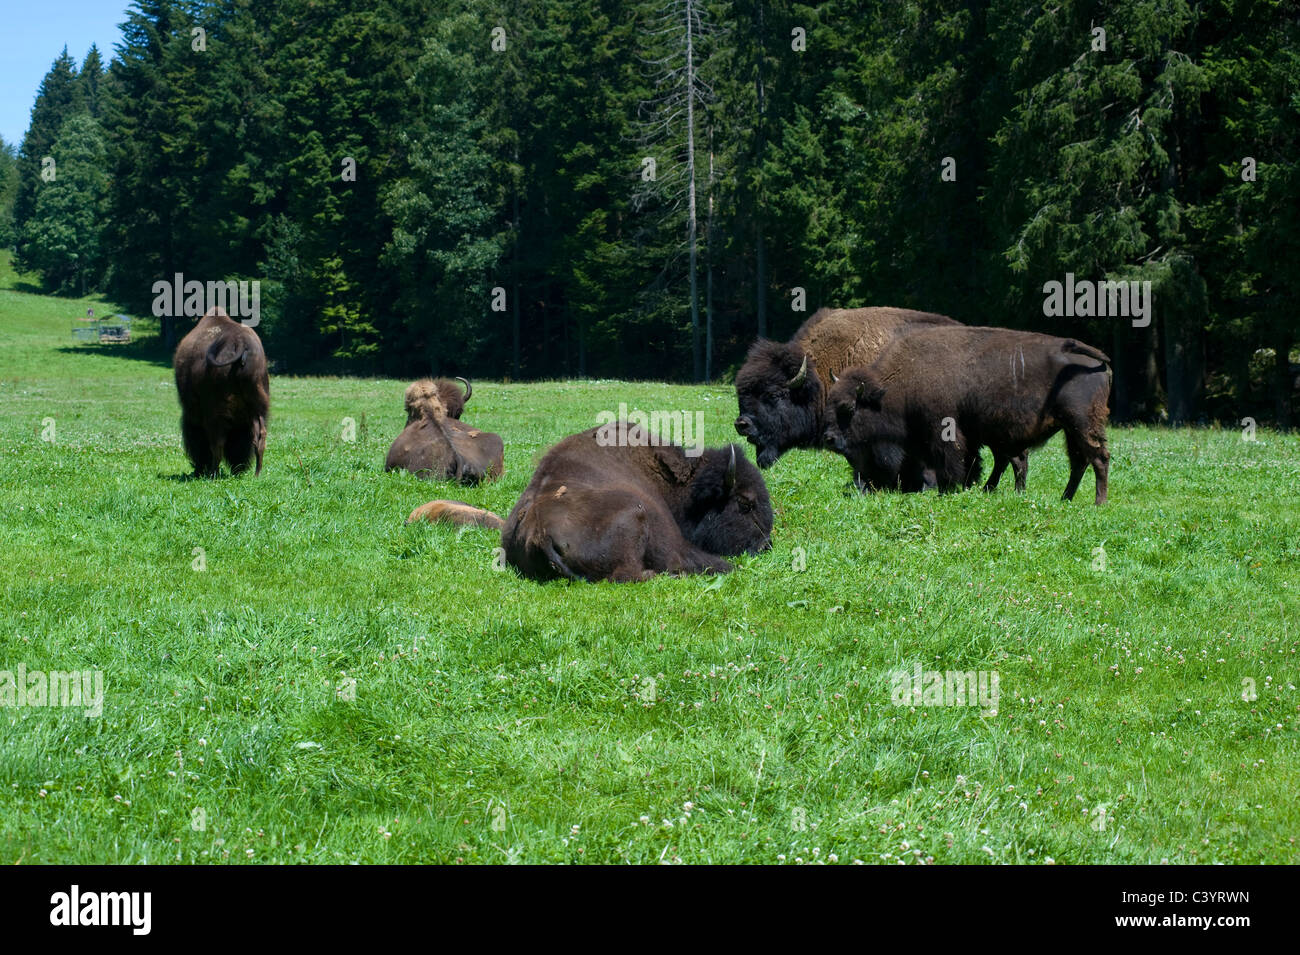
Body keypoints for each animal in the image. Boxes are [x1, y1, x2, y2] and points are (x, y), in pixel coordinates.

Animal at [172, 307, 269, 475]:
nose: (239, 469)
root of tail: (240, 343)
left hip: (217, 414)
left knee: (217, 443)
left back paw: (213, 474)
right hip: (257, 409)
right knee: (259, 438)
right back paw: (256, 474)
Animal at [821, 327, 1107, 504]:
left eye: (848, 409)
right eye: (830, 404)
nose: (829, 439)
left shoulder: (945, 432)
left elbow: (950, 462)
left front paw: (949, 490)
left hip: (1082, 424)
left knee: (1098, 458)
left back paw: (1098, 502)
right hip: (1067, 430)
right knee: (1074, 462)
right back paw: (1063, 498)